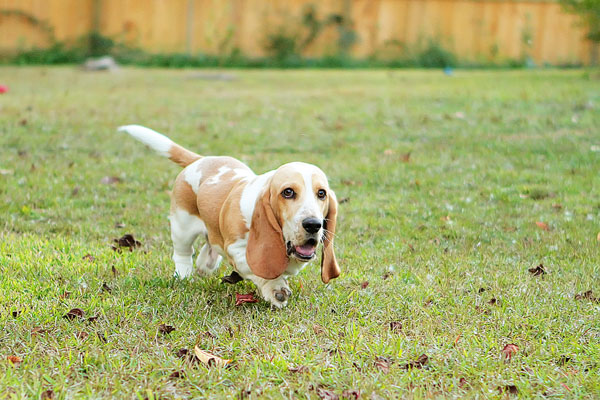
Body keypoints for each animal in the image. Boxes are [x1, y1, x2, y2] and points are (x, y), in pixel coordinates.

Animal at [119, 126, 340, 308]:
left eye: (321, 193)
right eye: (287, 192)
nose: (313, 225)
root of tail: (200, 160)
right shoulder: (236, 249)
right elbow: (256, 269)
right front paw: (275, 289)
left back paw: (206, 263)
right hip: (182, 226)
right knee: (183, 253)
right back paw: (184, 275)